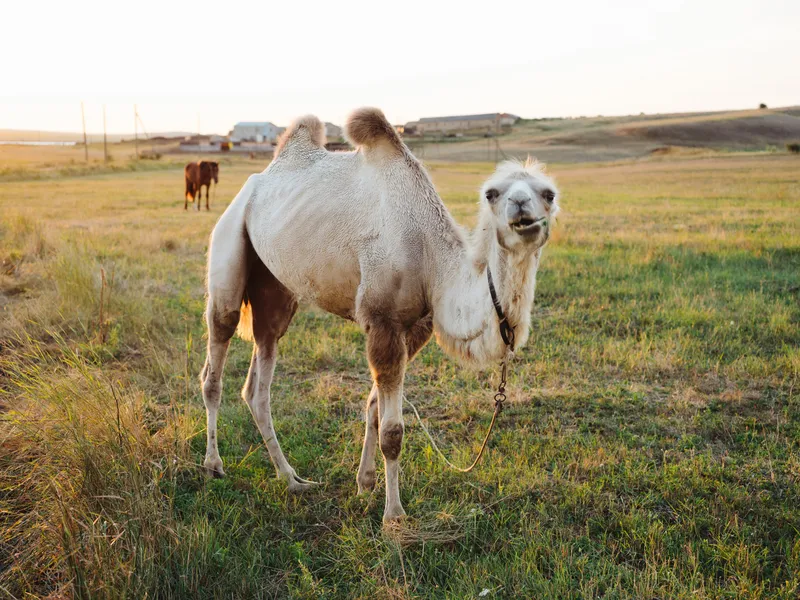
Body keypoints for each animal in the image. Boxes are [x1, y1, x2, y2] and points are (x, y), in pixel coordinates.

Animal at [200, 108, 559, 523]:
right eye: (492, 193)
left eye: (548, 194)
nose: (521, 209)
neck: (429, 256)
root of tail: (257, 182)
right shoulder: (381, 319)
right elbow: (393, 432)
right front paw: (394, 516)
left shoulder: (416, 326)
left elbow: (373, 408)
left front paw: (366, 483)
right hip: (228, 243)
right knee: (216, 358)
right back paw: (214, 465)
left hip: (275, 289)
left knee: (260, 373)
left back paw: (291, 478)